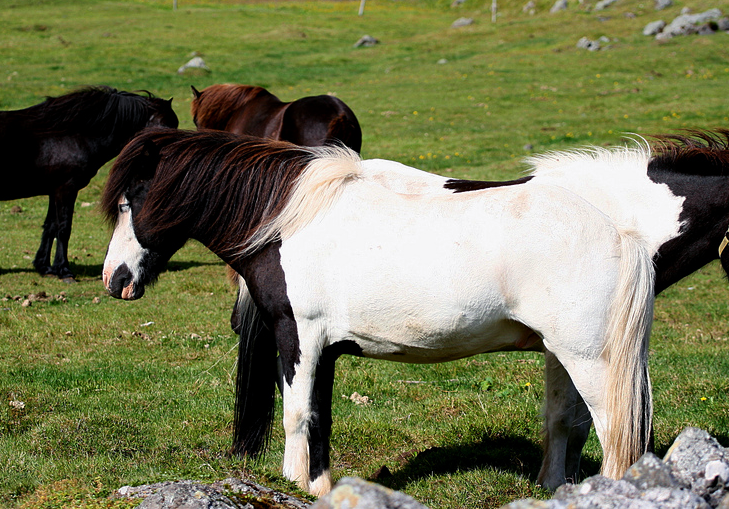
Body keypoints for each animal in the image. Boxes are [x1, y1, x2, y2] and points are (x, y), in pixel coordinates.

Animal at [0, 85, 179, 281]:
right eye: (163, 127)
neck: (70, 134)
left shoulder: (54, 191)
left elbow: (50, 226)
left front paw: (44, 267)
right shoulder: (66, 189)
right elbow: (63, 228)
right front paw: (63, 270)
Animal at [100, 128, 655, 496]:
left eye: (130, 201)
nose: (115, 280)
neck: (288, 222)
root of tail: (621, 234)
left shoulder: (298, 336)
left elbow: (297, 414)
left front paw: (294, 482)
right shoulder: (324, 349)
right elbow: (319, 416)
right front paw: (318, 485)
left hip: (590, 362)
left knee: (613, 433)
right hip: (567, 357)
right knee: (574, 423)